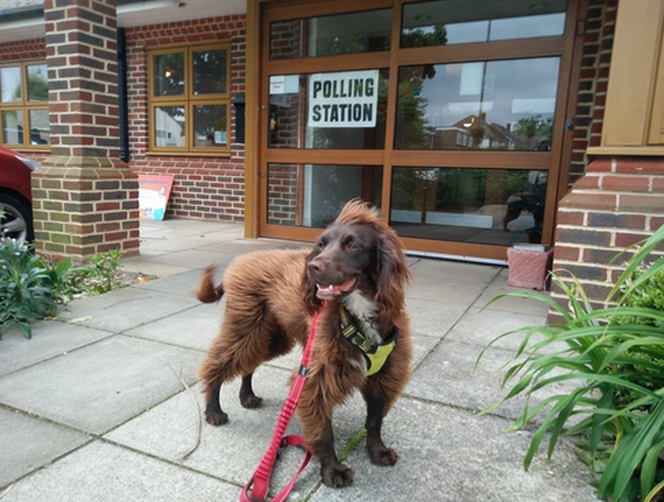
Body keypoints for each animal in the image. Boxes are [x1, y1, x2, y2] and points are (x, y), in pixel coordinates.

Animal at [195, 199, 412, 486]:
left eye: (353, 245)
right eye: (321, 244)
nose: (313, 267)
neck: (358, 312)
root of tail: (237, 264)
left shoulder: (384, 374)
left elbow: (375, 420)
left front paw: (378, 451)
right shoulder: (317, 378)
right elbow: (324, 431)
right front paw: (332, 470)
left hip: (269, 336)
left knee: (248, 364)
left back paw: (247, 396)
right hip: (246, 327)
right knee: (217, 362)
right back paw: (213, 410)